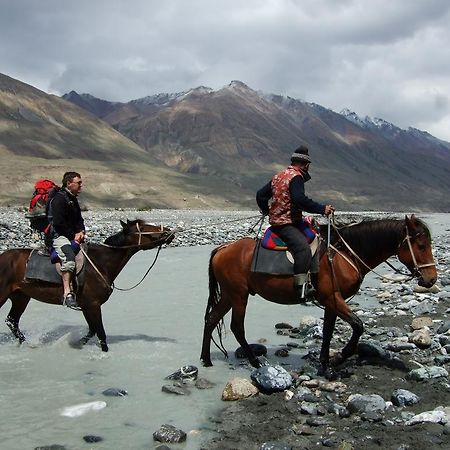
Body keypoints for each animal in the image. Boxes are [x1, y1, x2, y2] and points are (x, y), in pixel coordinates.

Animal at [0, 220, 173, 350]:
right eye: (142, 228)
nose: (169, 231)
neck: (101, 263)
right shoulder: (93, 305)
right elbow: (100, 332)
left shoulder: (86, 306)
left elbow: (92, 330)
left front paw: (78, 343)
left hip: (21, 297)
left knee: (12, 321)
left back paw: (26, 343)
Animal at [200, 216, 436, 378]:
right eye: (421, 245)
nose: (431, 279)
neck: (344, 255)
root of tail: (223, 248)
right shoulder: (332, 297)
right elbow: (358, 326)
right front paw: (339, 357)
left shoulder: (332, 302)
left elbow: (328, 332)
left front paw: (325, 365)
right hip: (239, 296)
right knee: (237, 327)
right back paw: (255, 362)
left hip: (229, 295)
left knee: (211, 319)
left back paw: (206, 359)